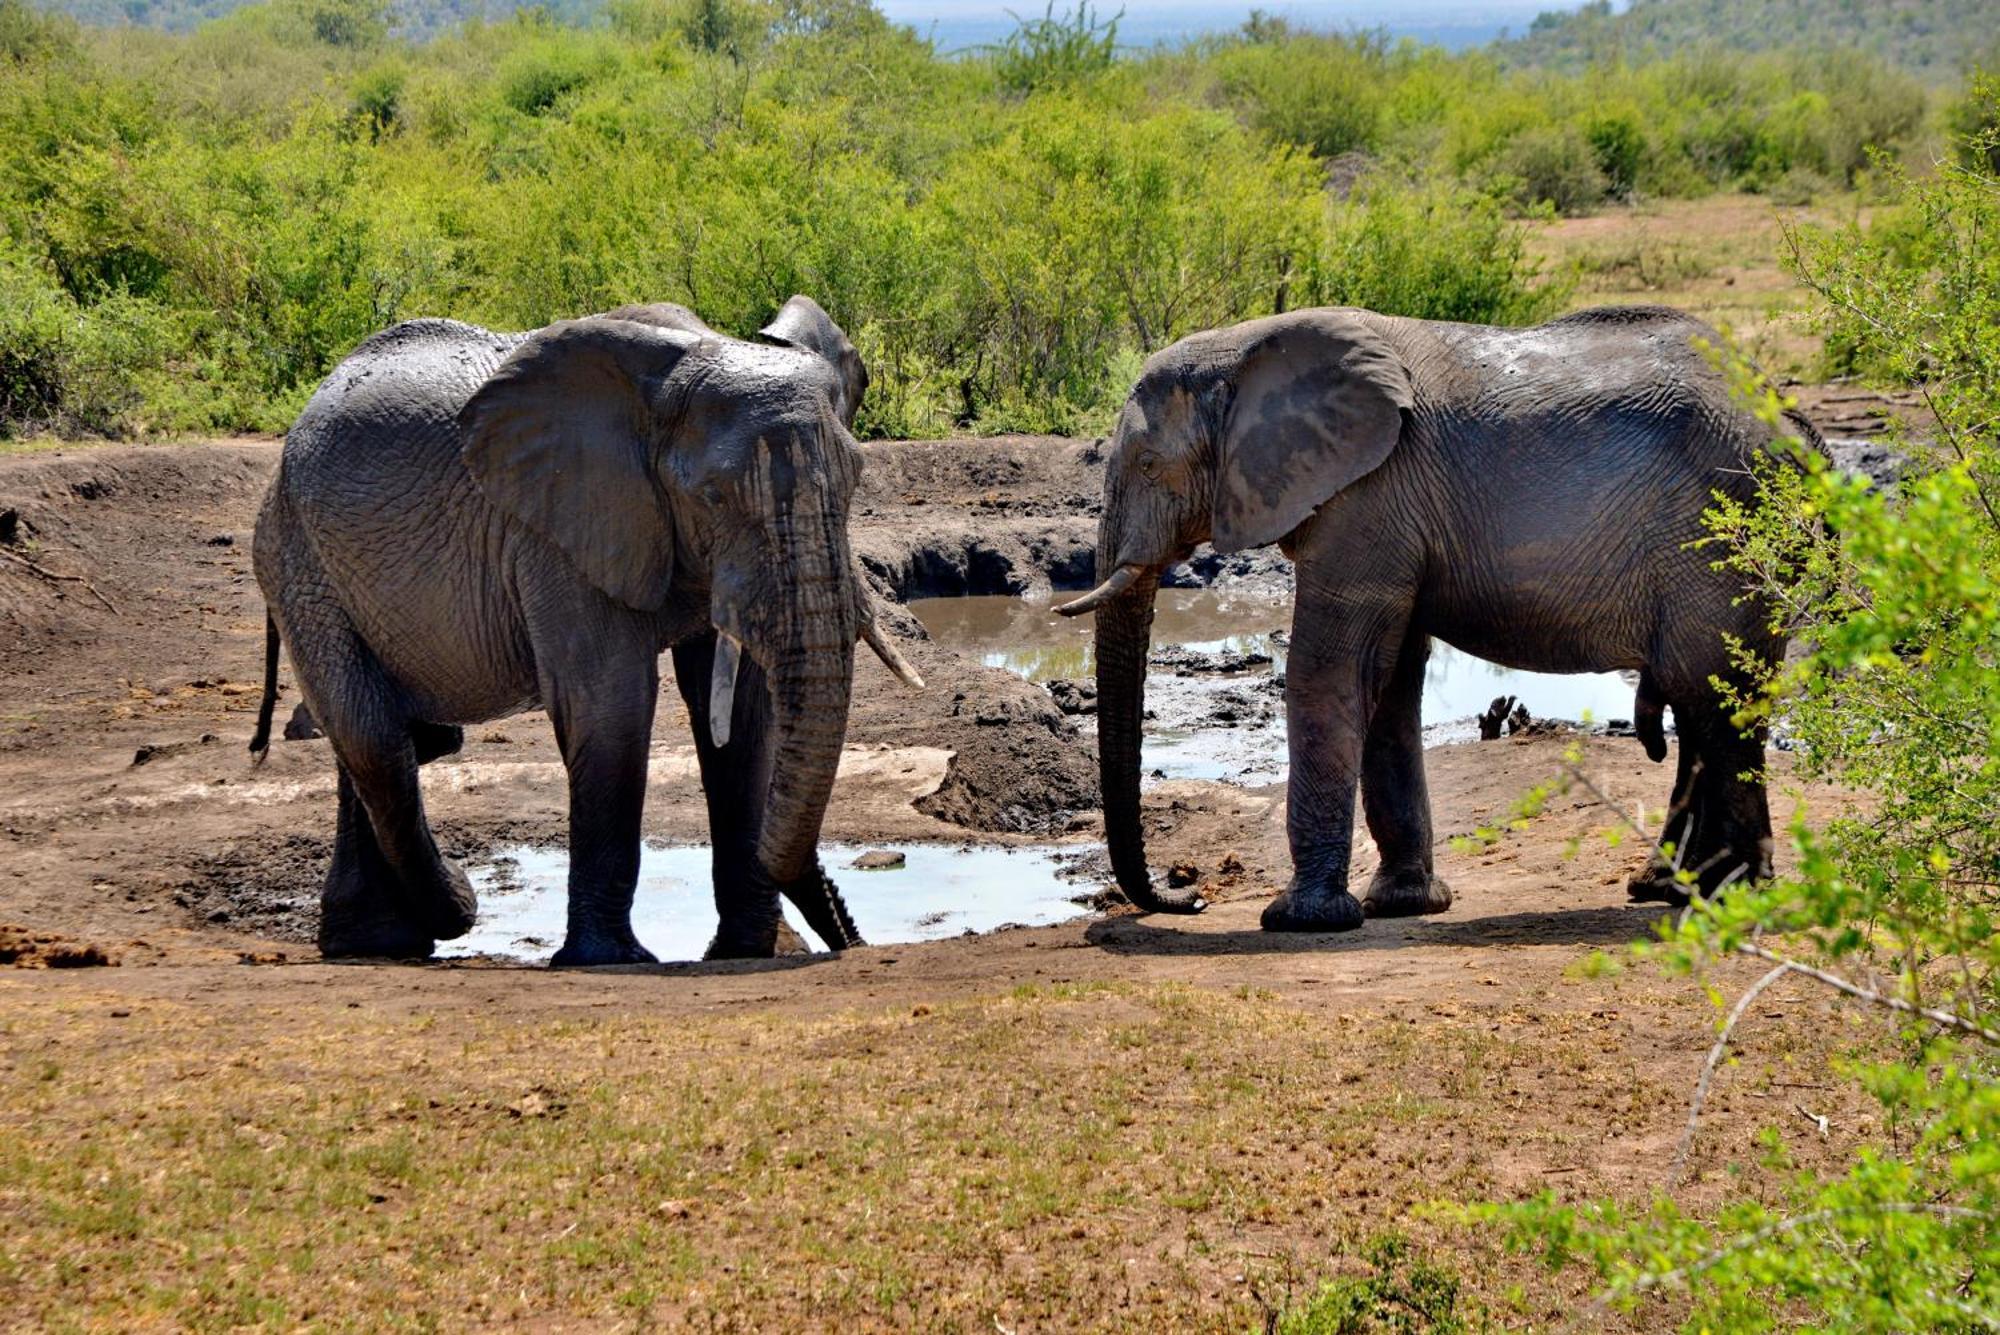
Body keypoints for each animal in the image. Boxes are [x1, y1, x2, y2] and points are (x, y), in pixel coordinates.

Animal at [252, 293, 928, 959]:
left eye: (854, 481)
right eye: (711, 497)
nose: (851, 944)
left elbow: (739, 716)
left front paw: (743, 954)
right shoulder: (556, 530)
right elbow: (610, 701)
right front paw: (612, 959)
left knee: (386, 740)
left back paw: (380, 940)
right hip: (301, 565)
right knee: (374, 736)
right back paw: (435, 916)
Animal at [1064, 303, 1816, 935]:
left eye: (1148, 464)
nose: (1188, 894)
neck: (1242, 348)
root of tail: (1796, 426)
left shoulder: (1369, 497)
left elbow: (1328, 671)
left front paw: (1300, 921)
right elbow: (1391, 680)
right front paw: (1402, 904)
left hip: (1729, 534)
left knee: (1717, 703)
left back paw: (1727, 891)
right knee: (1707, 705)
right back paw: (1670, 888)